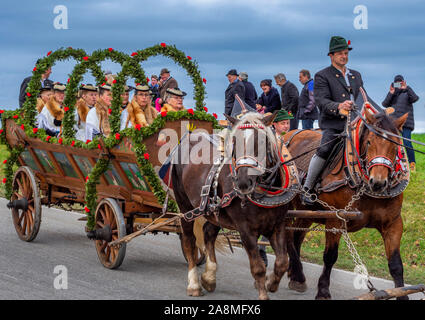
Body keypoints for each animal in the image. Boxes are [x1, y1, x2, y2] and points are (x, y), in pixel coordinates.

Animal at [171, 111, 288, 298]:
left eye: (262, 141)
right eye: (234, 142)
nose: (243, 182)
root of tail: (190, 137)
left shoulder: (278, 225)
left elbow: (283, 262)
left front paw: (271, 283)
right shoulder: (246, 230)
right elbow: (258, 267)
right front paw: (263, 292)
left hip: (214, 210)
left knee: (208, 233)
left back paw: (209, 277)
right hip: (185, 206)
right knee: (189, 241)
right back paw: (194, 284)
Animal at [284, 109, 410, 298]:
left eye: (395, 145)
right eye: (369, 141)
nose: (378, 182)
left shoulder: (393, 223)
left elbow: (395, 264)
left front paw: (401, 293)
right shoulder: (335, 220)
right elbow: (330, 256)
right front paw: (323, 291)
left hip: (306, 213)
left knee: (295, 236)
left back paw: (295, 274)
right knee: (288, 236)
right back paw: (297, 274)